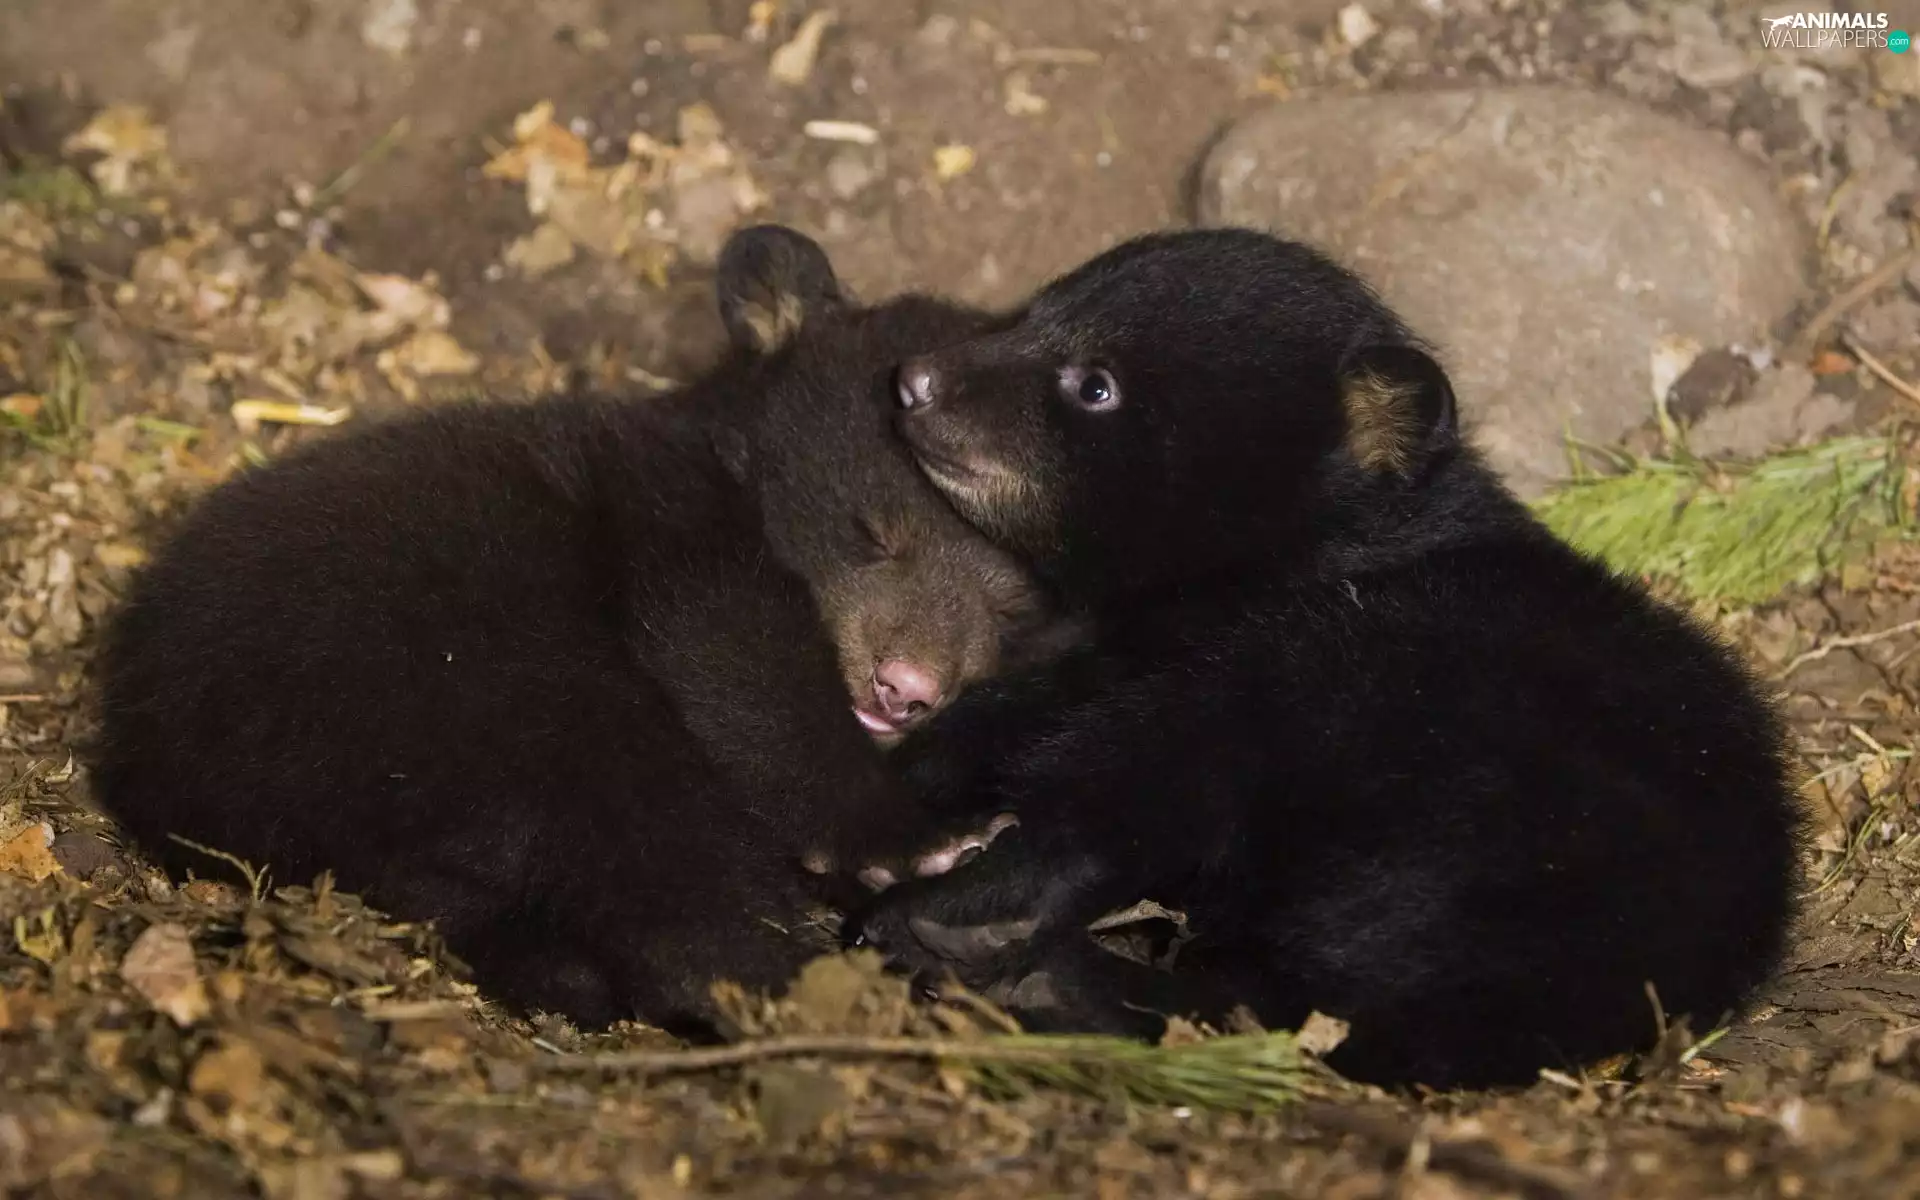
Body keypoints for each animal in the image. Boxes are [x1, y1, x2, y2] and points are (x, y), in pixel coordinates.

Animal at [86, 224, 1059, 1037]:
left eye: (1013, 608)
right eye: (869, 532)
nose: (906, 689)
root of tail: (142, 756)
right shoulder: (668, 522)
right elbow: (740, 669)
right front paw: (921, 839)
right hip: (439, 677)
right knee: (636, 829)